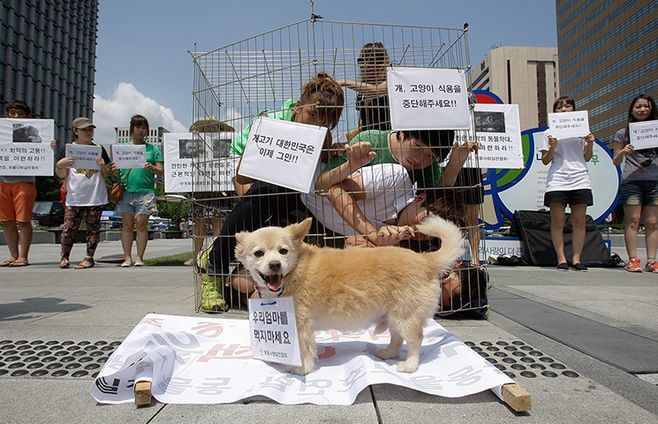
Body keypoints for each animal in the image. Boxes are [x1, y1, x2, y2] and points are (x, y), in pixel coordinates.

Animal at [234, 215, 462, 374]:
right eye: (258, 253)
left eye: (283, 251)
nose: (275, 265)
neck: (294, 272)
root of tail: (426, 260)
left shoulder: (302, 324)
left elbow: (306, 349)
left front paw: (302, 369)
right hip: (393, 316)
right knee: (397, 339)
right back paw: (389, 353)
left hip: (405, 315)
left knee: (415, 341)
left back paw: (410, 365)